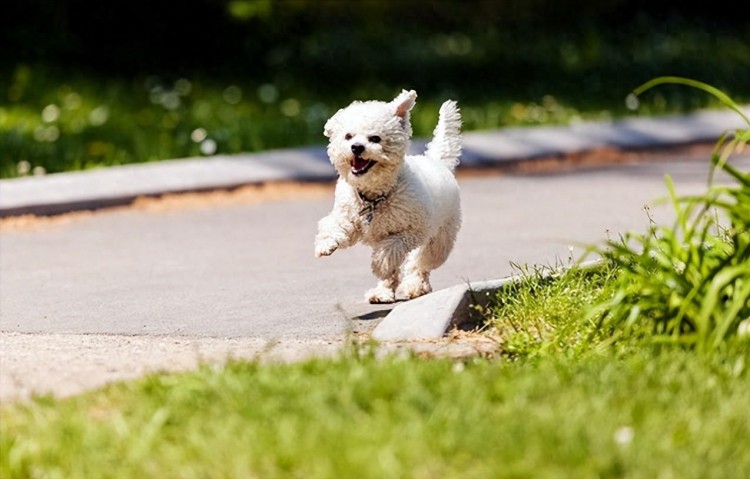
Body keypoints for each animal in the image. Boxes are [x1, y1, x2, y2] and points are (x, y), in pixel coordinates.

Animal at [314, 90, 462, 304]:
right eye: (348, 136)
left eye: (375, 138)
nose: (356, 147)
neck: (374, 197)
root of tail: (436, 161)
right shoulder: (348, 217)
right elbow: (335, 226)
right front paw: (325, 243)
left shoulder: (412, 231)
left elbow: (389, 252)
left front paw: (380, 264)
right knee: (396, 271)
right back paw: (382, 292)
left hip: (439, 241)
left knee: (420, 263)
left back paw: (415, 285)